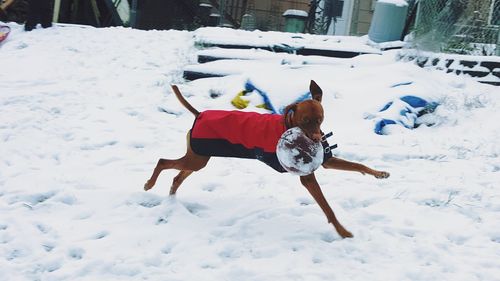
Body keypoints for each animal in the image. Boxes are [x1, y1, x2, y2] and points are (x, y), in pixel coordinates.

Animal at [143, 80, 388, 237]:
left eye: (320, 119)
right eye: (305, 121)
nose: (317, 141)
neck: (289, 124)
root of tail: (200, 114)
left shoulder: (327, 161)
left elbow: (358, 165)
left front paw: (380, 173)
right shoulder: (306, 177)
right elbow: (327, 207)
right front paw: (342, 231)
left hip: (198, 159)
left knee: (177, 177)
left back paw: (171, 198)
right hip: (197, 159)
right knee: (162, 161)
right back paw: (149, 184)